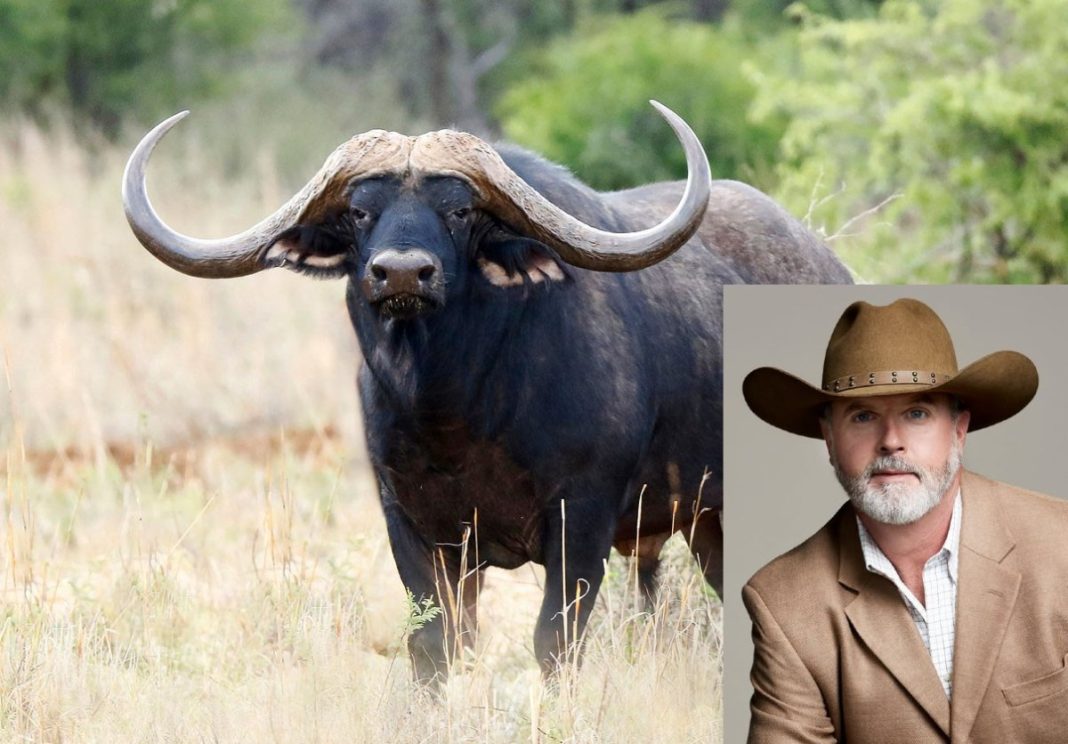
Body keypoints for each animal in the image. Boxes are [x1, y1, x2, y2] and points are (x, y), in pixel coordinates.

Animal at [123, 102, 852, 684]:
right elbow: (433, 645)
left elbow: (555, 643)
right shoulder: (415, 528)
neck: (459, 410)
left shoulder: (581, 520)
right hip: (706, 524)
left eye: (460, 210)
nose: (401, 274)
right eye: (360, 211)